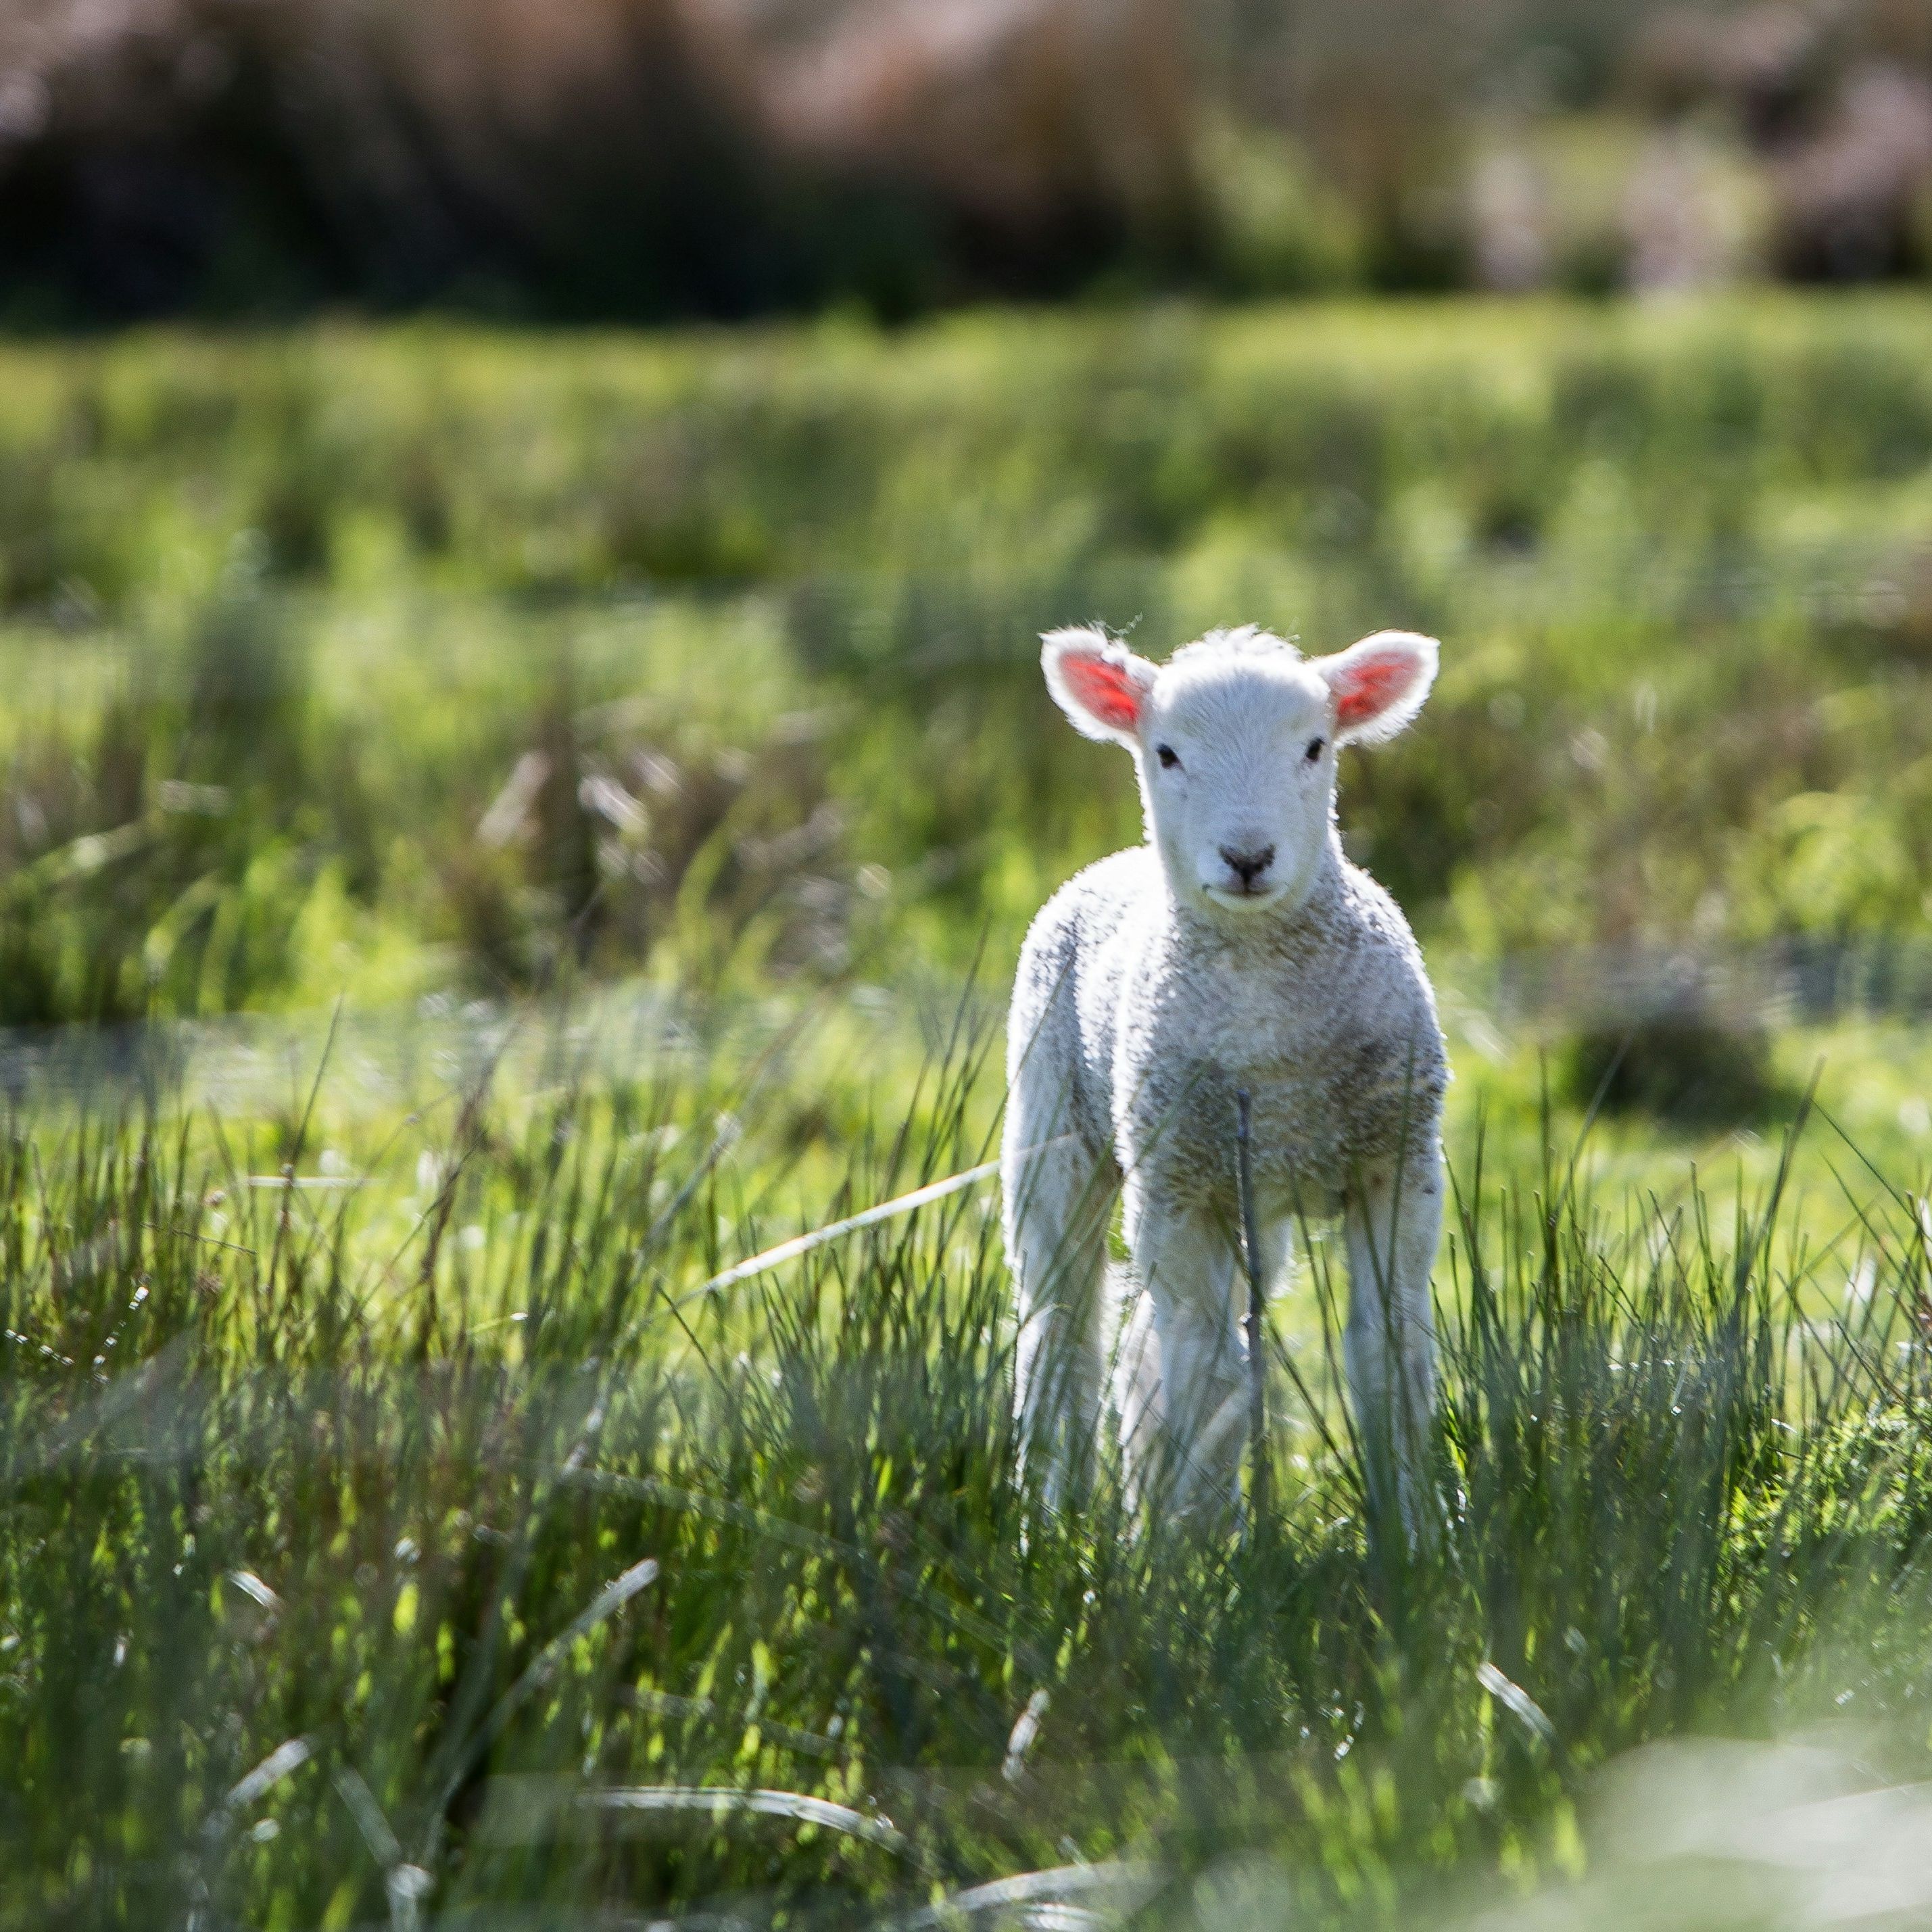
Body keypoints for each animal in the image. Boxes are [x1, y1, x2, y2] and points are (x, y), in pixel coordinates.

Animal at [1001, 622, 1447, 1524]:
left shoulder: (1395, 1162)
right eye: (1166, 752)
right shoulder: (1177, 1186)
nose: (1247, 856)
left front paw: (1411, 1530)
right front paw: (1196, 1543)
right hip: (1052, 1127)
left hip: (1249, 1194)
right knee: (1061, 1329)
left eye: (1314, 747)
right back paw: (1053, 1513)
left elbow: (1388, 1352)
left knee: (1157, 1336)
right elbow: (1203, 1374)